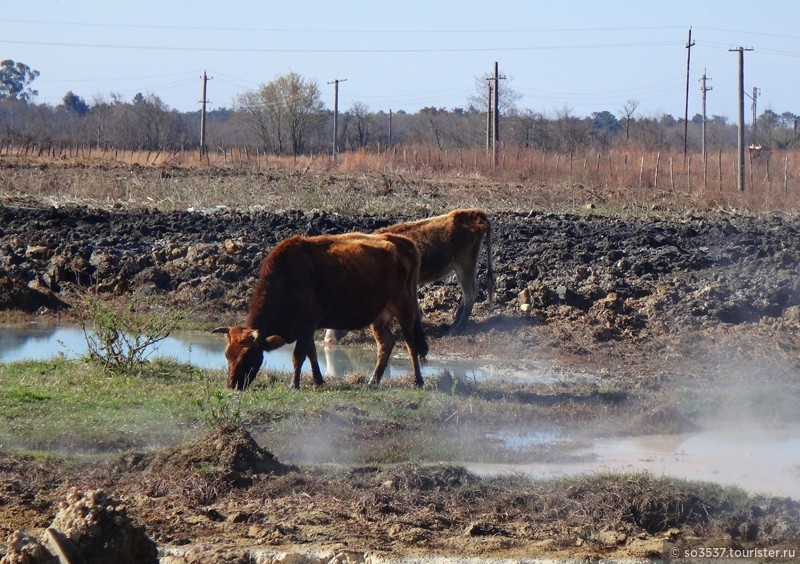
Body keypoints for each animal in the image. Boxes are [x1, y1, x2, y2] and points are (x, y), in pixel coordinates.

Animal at [211, 231, 424, 390]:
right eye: (227, 355)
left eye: (248, 355)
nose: (232, 385)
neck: (286, 277)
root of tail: (402, 242)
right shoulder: (306, 328)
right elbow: (311, 353)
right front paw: (318, 381)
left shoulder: (307, 323)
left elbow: (298, 356)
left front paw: (294, 385)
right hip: (379, 317)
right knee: (386, 344)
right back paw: (373, 381)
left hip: (404, 307)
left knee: (411, 344)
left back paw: (418, 381)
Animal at [324, 209, 494, 346]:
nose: (328, 340)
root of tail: (474, 212)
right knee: (466, 294)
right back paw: (454, 323)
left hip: (465, 262)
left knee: (470, 292)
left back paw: (457, 328)